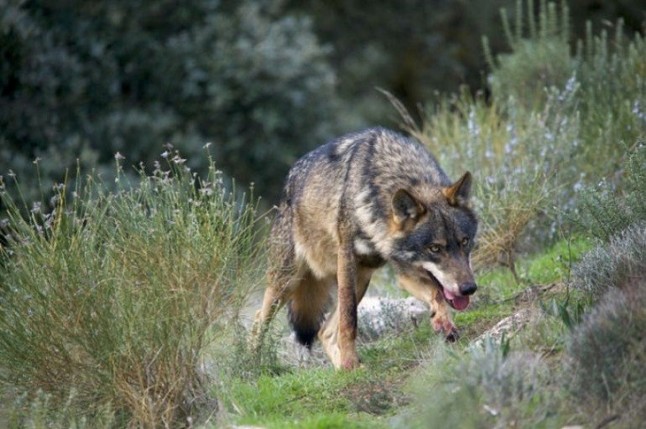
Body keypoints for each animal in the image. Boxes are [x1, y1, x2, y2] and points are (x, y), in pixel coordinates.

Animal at [250, 127, 478, 370]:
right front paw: (350, 360)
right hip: (288, 282)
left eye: (464, 242)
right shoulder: (347, 257)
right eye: (435, 248)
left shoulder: (404, 271)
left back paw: (343, 370)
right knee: (258, 321)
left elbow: (437, 294)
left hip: (361, 278)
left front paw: (443, 322)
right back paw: (252, 365)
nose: (469, 288)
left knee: (324, 331)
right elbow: (349, 320)